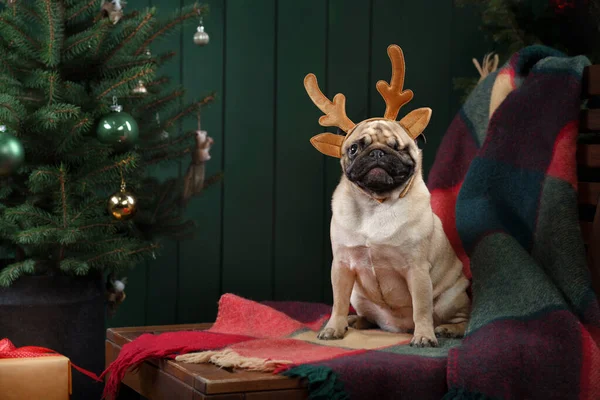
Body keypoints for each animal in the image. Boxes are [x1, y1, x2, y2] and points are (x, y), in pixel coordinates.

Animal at [304, 43, 468, 346]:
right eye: (354, 148)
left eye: (398, 147)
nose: (378, 153)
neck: (375, 203)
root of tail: (397, 327)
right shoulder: (342, 266)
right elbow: (337, 303)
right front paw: (333, 327)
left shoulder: (417, 270)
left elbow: (422, 307)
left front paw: (424, 336)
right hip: (360, 295)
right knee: (365, 314)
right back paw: (354, 322)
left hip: (452, 297)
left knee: (460, 316)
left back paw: (446, 330)